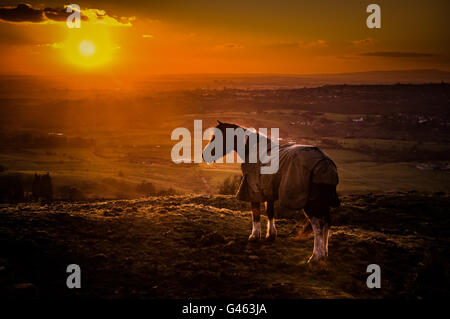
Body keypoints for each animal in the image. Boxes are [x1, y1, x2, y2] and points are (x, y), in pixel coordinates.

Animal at [202, 121, 340, 264]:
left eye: (216, 137)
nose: (204, 155)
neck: (252, 148)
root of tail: (325, 163)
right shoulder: (269, 189)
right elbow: (270, 212)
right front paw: (271, 235)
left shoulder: (253, 189)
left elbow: (256, 213)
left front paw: (254, 236)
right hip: (322, 202)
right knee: (326, 223)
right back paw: (324, 253)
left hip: (310, 203)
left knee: (318, 225)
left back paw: (315, 256)